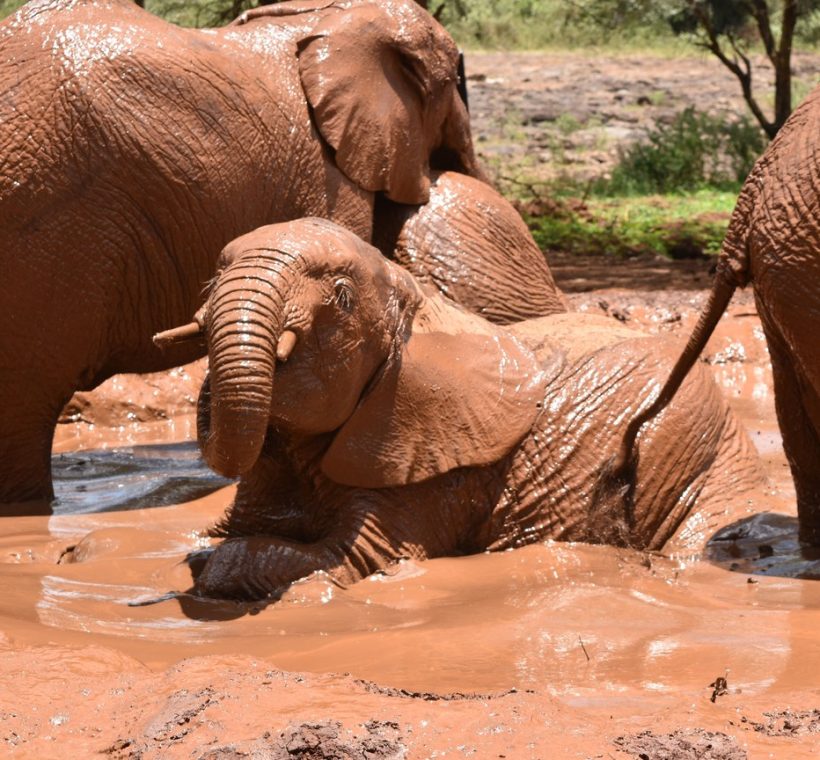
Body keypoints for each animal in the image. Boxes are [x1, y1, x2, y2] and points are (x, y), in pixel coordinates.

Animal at [156, 218, 763, 601]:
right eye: (215, 274)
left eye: (342, 297)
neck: (417, 302)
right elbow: (210, 533)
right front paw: (196, 553)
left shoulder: (428, 466)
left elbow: (353, 558)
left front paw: (213, 568)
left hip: (694, 448)